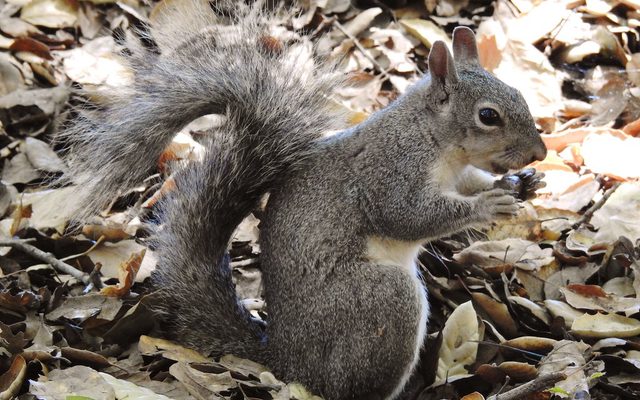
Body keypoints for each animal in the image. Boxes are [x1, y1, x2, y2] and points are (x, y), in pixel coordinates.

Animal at [57, 1, 548, 399]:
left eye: (520, 94)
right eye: (488, 116)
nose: (540, 153)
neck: (436, 142)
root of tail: (290, 363)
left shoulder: (459, 172)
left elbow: (470, 184)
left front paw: (523, 183)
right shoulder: (390, 172)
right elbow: (408, 216)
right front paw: (487, 206)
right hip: (381, 301)